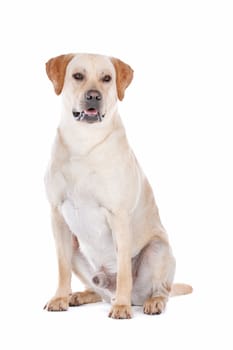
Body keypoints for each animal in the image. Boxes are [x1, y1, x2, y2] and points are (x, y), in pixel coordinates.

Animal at [43, 53, 191, 318]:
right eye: (77, 76)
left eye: (107, 78)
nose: (94, 96)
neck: (84, 141)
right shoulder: (57, 215)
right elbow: (62, 268)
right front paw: (59, 298)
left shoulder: (119, 216)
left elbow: (123, 272)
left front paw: (121, 307)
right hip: (77, 250)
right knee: (97, 290)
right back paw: (80, 295)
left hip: (157, 250)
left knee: (161, 290)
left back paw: (150, 302)